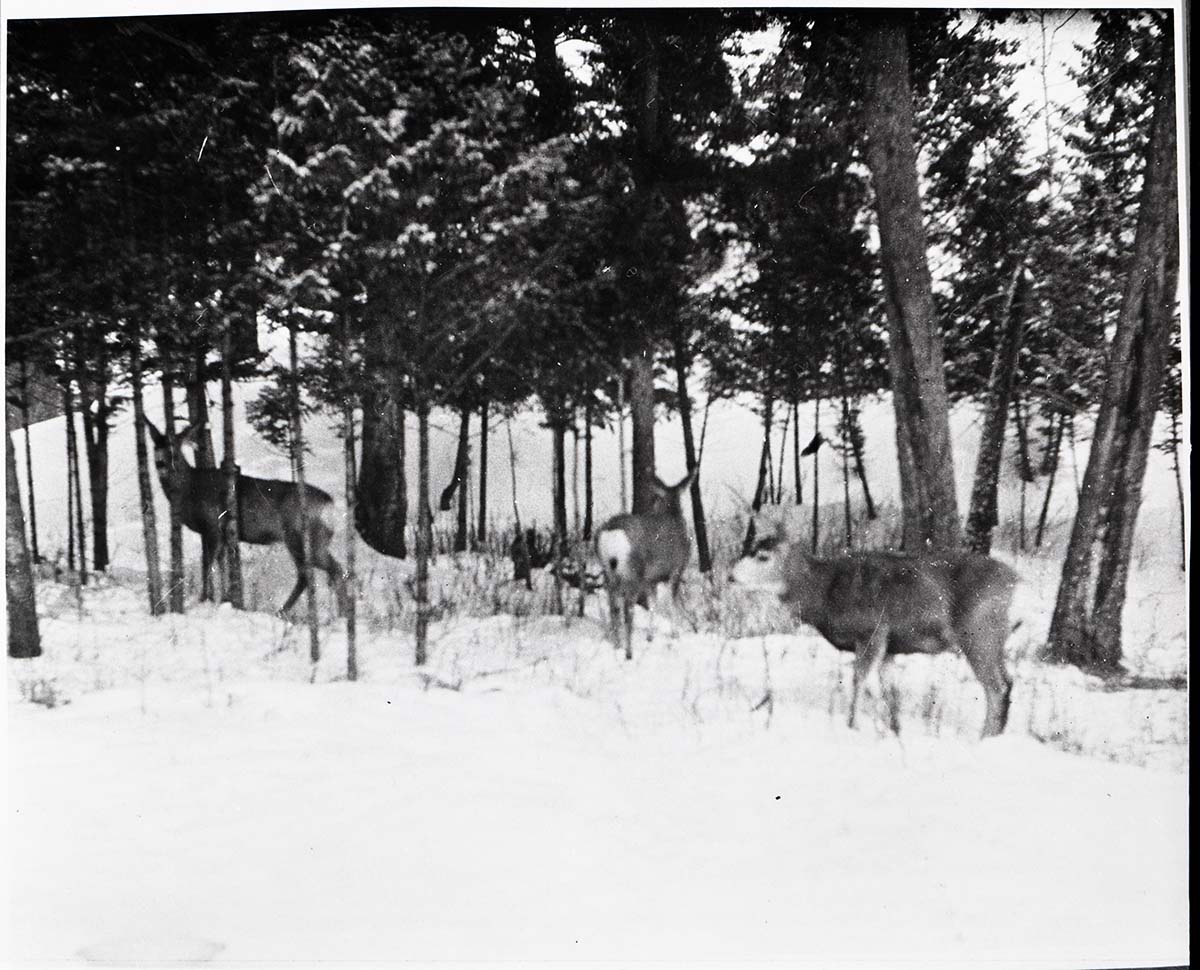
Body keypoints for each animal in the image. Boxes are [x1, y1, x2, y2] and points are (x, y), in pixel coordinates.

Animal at [143, 419, 348, 617]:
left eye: (174, 452)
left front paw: (204, 600)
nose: (160, 464)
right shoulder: (219, 534)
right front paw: (225, 598)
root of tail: (329, 503)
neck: (191, 489)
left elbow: (207, 565)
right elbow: (221, 565)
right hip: (312, 539)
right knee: (318, 573)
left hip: (302, 537)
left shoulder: (213, 525)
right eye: (155, 447)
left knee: (328, 571)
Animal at [594, 471, 695, 660]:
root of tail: (612, 534)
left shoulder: (651, 579)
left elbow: (653, 605)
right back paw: (629, 652)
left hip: (608, 571)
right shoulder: (676, 569)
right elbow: (672, 603)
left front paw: (650, 636)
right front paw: (675, 634)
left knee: (614, 608)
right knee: (628, 611)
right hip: (632, 572)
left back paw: (617, 645)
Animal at [729, 510, 1018, 738]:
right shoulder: (891, 645)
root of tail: (1015, 579)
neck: (824, 591)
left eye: (762, 556)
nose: (731, 577)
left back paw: (984, 738)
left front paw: (853, 726)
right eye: (747, 549)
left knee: (996, 687)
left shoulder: (871, 631)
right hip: (994, 637)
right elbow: (887, 690)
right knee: (1008, 681)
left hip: (978, 632)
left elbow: (858, 681)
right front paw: (893, 729)